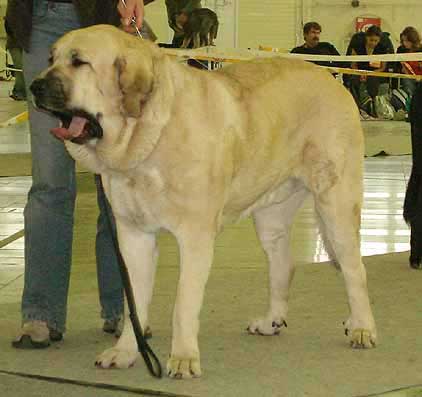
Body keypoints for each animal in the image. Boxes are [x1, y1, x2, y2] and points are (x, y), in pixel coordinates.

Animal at [31, 24, 378, 378]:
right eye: (51, 59)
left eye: (79, 62)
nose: (35, 86)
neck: (148, 135)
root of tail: (332, 80)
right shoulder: (134, 236)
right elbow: (135, 304)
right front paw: (127, 351)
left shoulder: (195, 237)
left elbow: (183, 303)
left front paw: (183, 358)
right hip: (271, 215)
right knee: (283, 263)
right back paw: (271, 321)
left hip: (335, 204)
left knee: (355, 269)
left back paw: (362, 327)